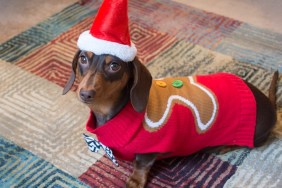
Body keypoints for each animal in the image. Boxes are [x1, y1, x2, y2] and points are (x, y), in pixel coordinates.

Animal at [64, 50, 280, 187]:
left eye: (114, 65)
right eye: (83, 58)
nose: (85, 93)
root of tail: (268, 103)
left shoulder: (151, 149)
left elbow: (140, 165)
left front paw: (135, 181)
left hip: (255, 133)